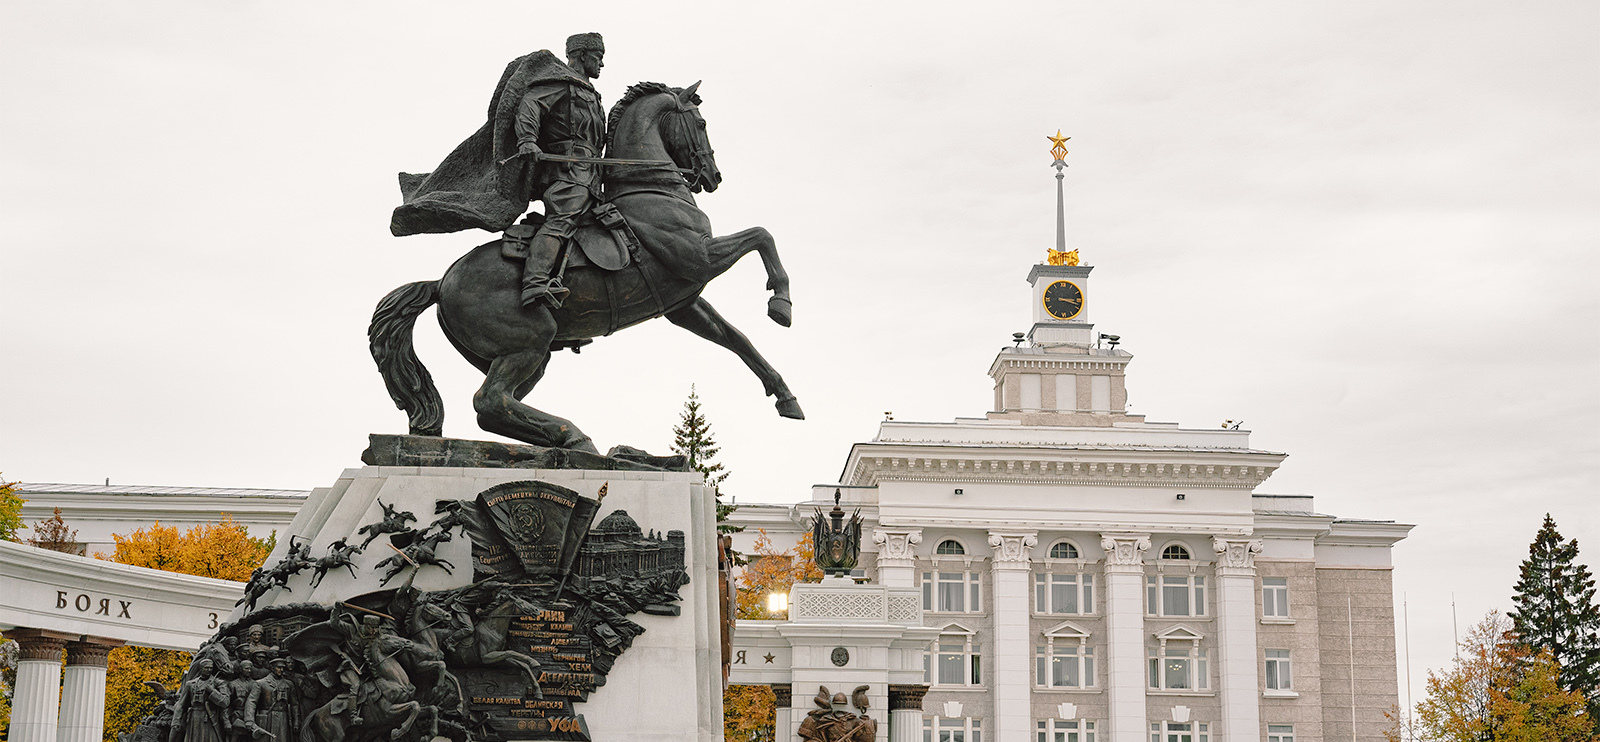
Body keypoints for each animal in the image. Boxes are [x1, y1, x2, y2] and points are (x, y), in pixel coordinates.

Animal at [371, 83, 800, 447]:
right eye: (702, 123)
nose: (713, 177)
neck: (650, 190)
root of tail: (441, 282)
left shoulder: (683, 302)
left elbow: (736, 338)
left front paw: (786, 397)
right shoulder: (699, 257)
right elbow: (762, 236)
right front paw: (781, 304)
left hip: (528, 356)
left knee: (496, 409)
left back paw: (574, 443)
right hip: (529, 342)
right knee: (489, 401)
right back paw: (577, 437)